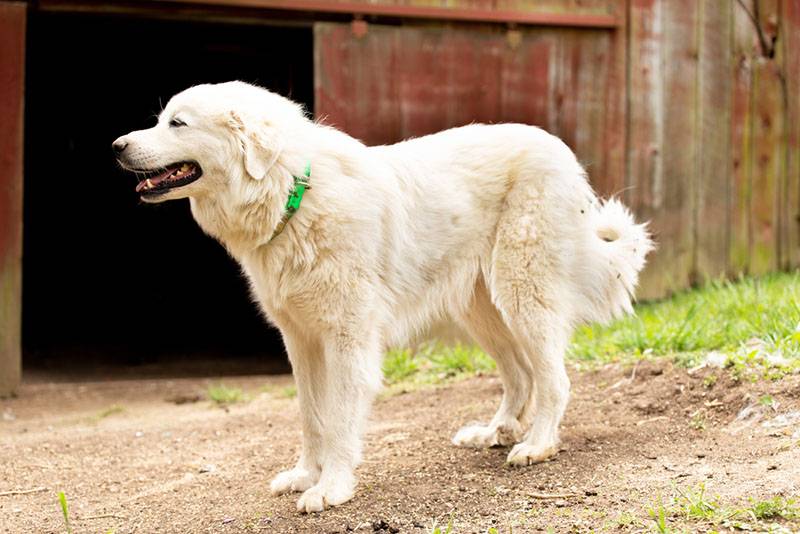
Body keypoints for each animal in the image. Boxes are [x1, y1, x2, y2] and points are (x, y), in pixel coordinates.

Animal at [111, 82, 648, 516]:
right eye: (160, 118)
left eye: (177, 123)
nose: (116, 146)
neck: (294, 195)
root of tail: (561, 149)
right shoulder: (301, 341)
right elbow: (311, 418)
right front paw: (306, 476)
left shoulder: (348, 341)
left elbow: (339, 422)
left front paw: (331, 488)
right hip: (482, 309)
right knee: (521, 374)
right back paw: (496, 432)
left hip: (523, 293)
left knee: (554, 378)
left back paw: (537, 445)